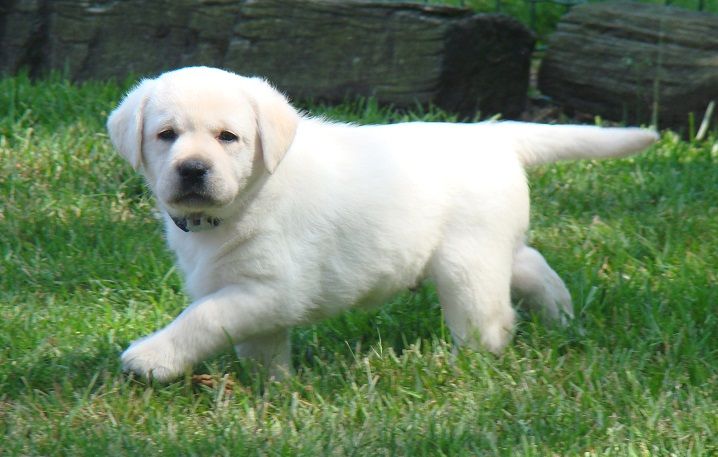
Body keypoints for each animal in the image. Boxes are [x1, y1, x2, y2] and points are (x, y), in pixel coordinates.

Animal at [105, 66, 660, 382]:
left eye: (228, 137)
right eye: (166, 135)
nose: (192, 169)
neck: (245, 201)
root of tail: (492, 134)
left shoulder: (273, 288)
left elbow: (204, 318)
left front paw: (153, 358)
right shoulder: (243, 290)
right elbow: (255, 344)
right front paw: (273, 389)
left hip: (467, 264)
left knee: (490, 320)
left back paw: (467, 366)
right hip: (491, 245)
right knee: (532, 263)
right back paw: (561, 315)